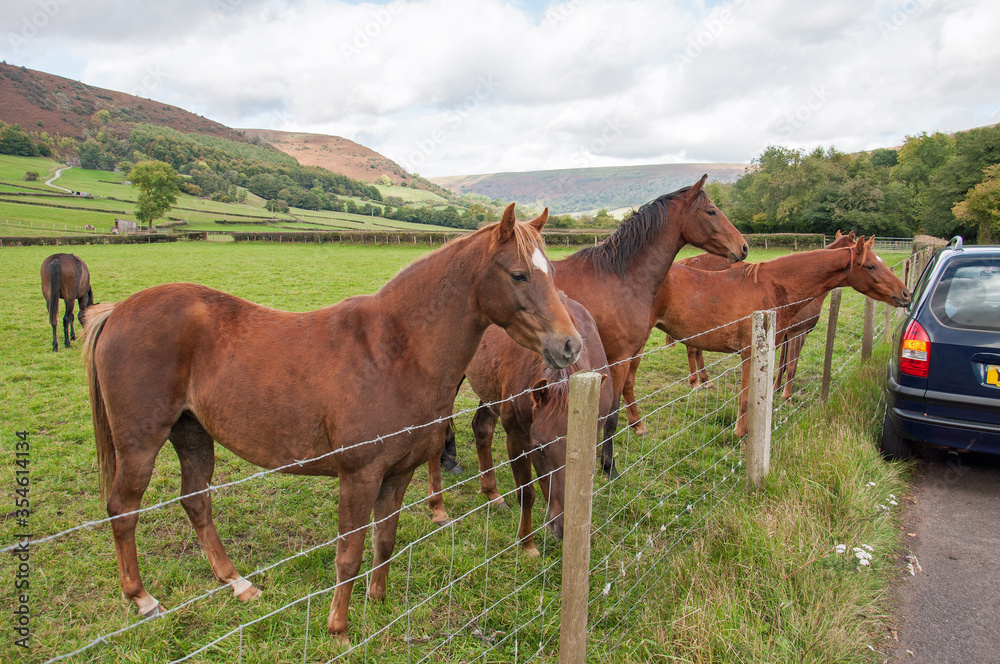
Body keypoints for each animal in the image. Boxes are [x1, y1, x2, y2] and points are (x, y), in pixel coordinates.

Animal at [82, 204, 582, 642]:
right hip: (141, 443)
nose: (570, 345)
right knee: (123, 509)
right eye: (518, 274)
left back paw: (237, 583)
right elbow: (349, 553)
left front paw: (378, 603)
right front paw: (339, 629)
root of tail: (118, 311)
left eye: (554, 275)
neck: (396, 350)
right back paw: (142, 598)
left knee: (196, 502)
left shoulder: (397, 474)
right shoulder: (358, 476)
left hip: (192, 433)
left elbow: (384, 540)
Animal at [426, 295, 613, 556]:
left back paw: (493, 495)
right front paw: (527, 545)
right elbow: (526, 493)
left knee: (481, 429)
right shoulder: (517, 438)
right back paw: (438, 509)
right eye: (538, 448)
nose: (562, 527)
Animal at [665, 231, 858, 395]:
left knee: (696, 350)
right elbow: (791, 366)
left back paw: (705, 380)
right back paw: (697, 381)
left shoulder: (784, 336)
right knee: (692, 350)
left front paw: (776, 388)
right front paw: (786, 396)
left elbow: (782, 364)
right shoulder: (798, 333)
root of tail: (689, 262)